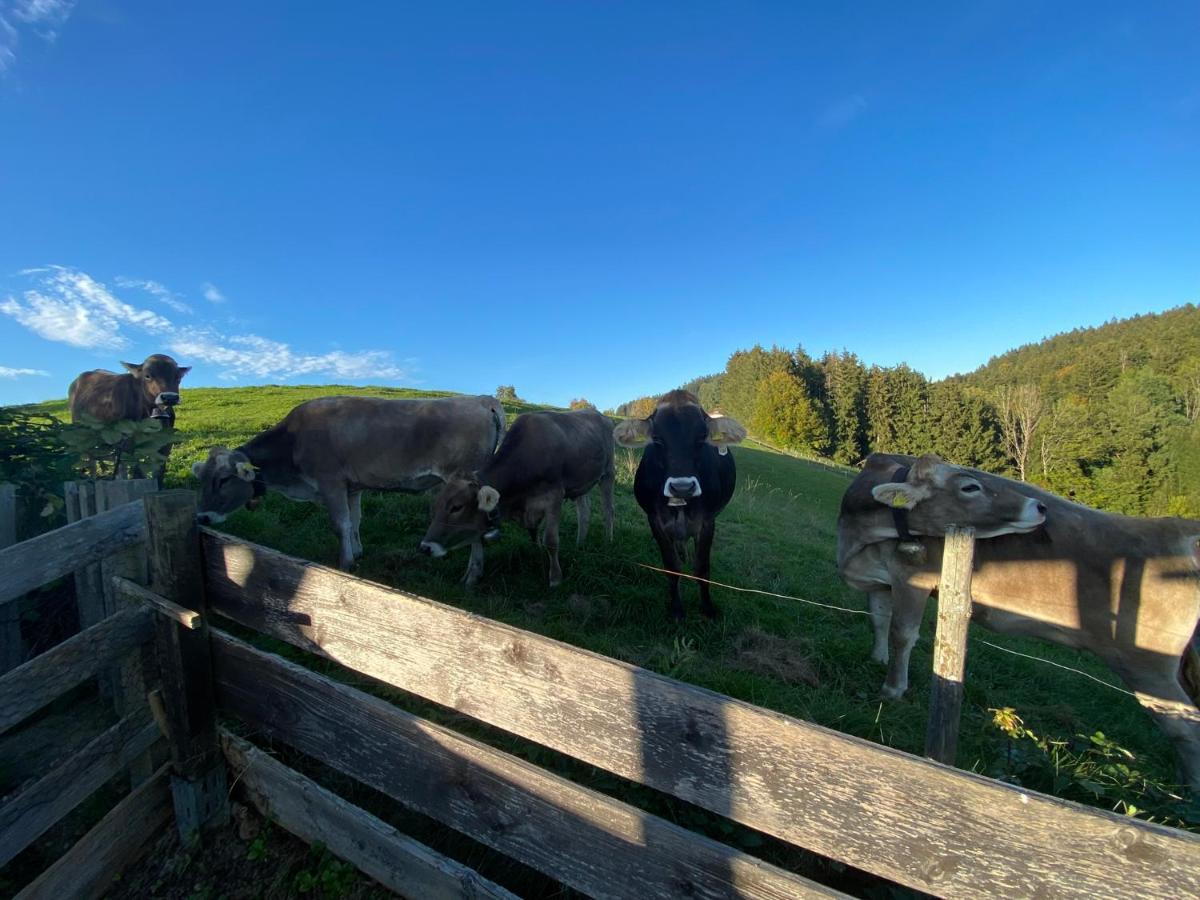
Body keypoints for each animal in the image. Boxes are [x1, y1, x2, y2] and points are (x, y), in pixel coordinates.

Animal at [190, 396, 506, 571]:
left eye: (223, 480)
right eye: (201, 479)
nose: (201, 517)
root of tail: (482, 399)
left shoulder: (331, 483)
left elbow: (339, 524)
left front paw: (345, 564)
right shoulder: (352, 488)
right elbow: (354, 522)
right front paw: (358, 552)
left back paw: (471, 575)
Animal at [614, 391, 744, 624]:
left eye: (702, 437)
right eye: (657, 439)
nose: (682, 487)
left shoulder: (707, 522)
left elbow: (702, 568)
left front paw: (707, 607)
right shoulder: (655, 520)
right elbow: (672, 566)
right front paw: (676, 609)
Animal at [835, 453, 1200, 792]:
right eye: (970, 487)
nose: (1039, 506)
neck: (859, 535)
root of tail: (1178, 529)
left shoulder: (913, 578)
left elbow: (902, 633)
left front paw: (892, 689)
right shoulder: (880, 579)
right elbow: (879, 619)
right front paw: (877, 658)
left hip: (1145, 663)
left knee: (1185, 728)